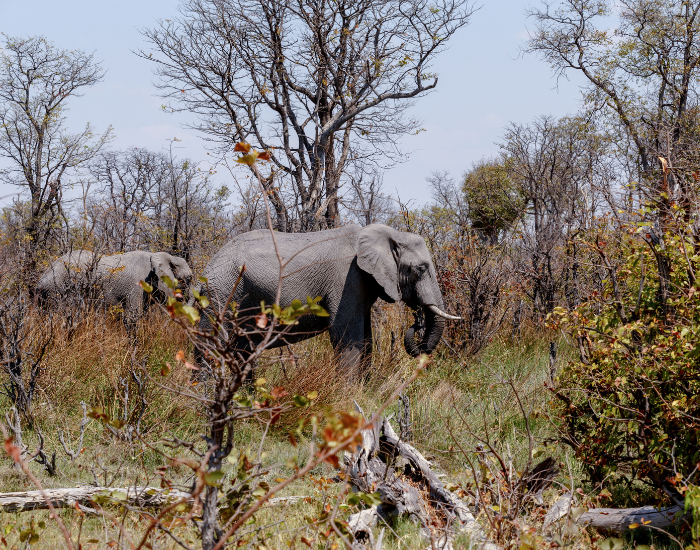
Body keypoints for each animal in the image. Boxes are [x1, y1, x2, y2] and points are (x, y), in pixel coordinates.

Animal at [195, 223, 460, 375]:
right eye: (421, 269)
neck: (388, 234)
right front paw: (348, 398)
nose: (416, 321)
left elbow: (366, 339)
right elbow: (347, 336)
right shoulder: (347, 278)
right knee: (211, 349)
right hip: (221, 295)